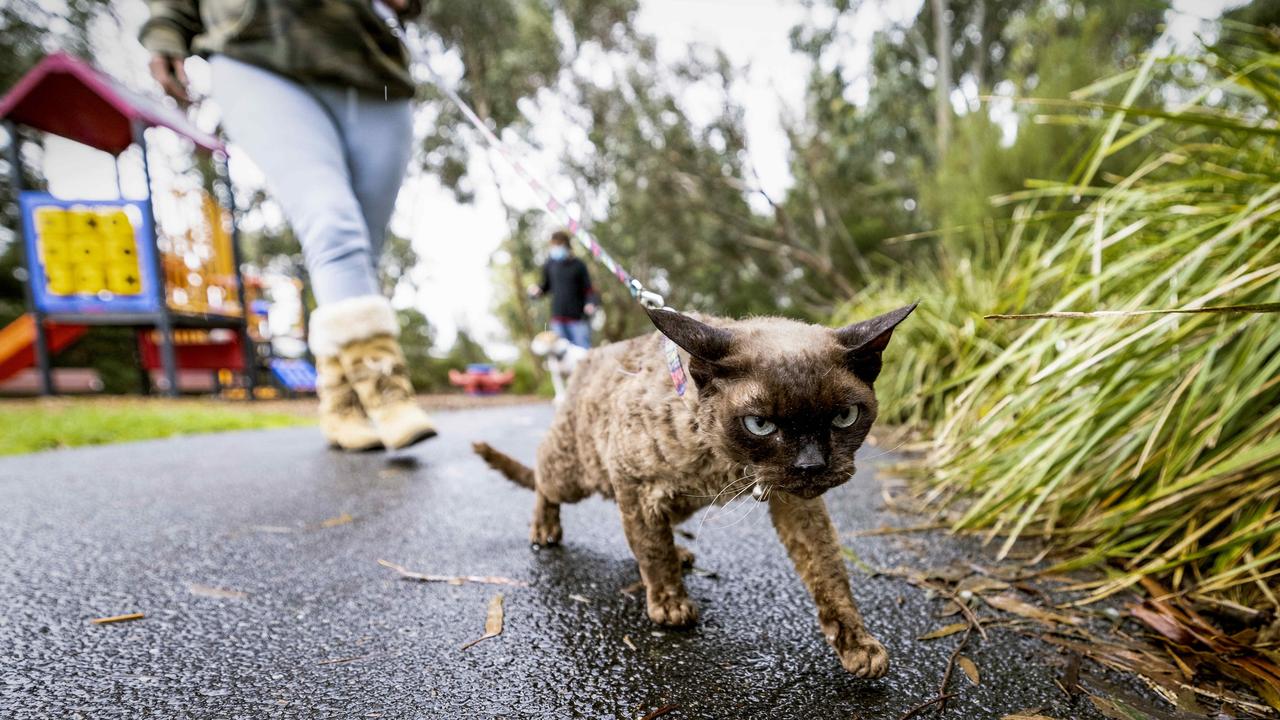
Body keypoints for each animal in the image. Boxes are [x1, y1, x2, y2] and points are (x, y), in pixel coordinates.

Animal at [476, 301, 916, 671]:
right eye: (760, 424)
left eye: (844, 417)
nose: (812, 465)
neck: (727, 468)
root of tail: (589, 357)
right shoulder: (632, 482)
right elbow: (652, 551)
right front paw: (669, 604)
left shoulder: (796, 503)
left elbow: (828, 571)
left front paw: (857, 644)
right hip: (576, 473)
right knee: (543, 475)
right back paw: (545, 528)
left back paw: (682, 553)